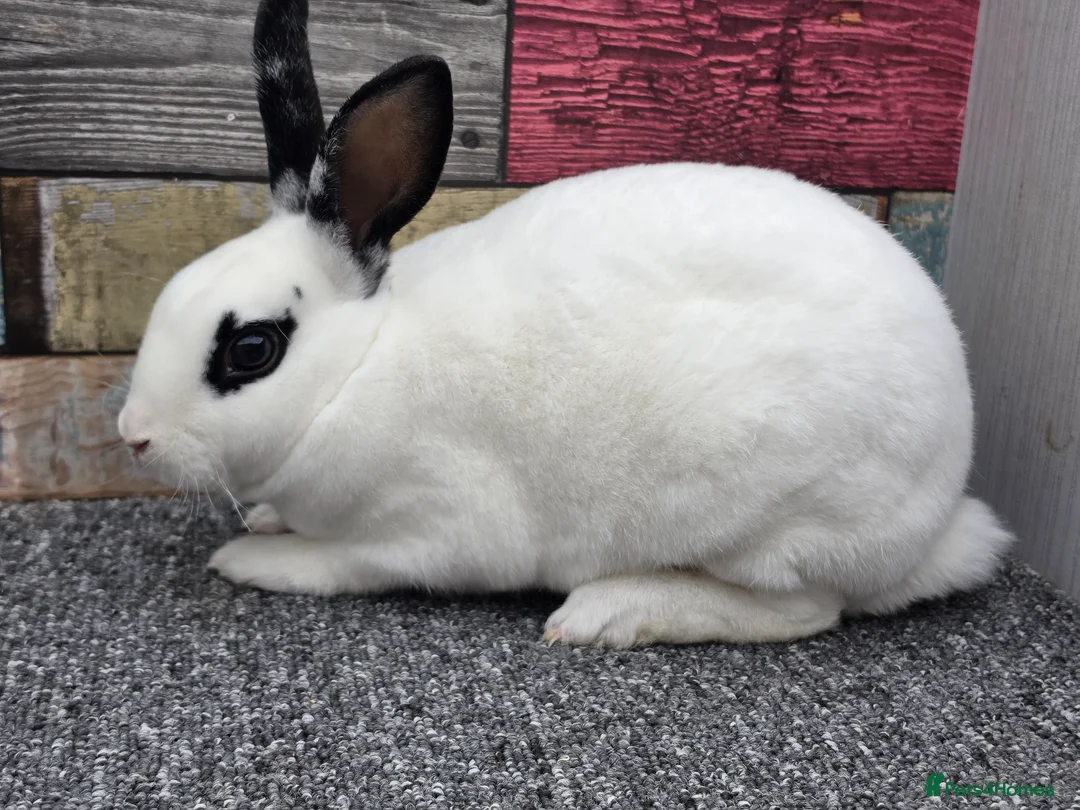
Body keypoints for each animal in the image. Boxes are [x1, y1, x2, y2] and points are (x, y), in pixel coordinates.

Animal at [117, 0, 1015, 648]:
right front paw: (265, 519)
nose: (134, 436)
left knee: (806, 609)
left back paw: (607, 614)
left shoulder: (424, 529)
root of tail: (938, 521)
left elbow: (334, 564)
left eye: (251, 348)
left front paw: (252, 554)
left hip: (772, 520)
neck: (354, 368)